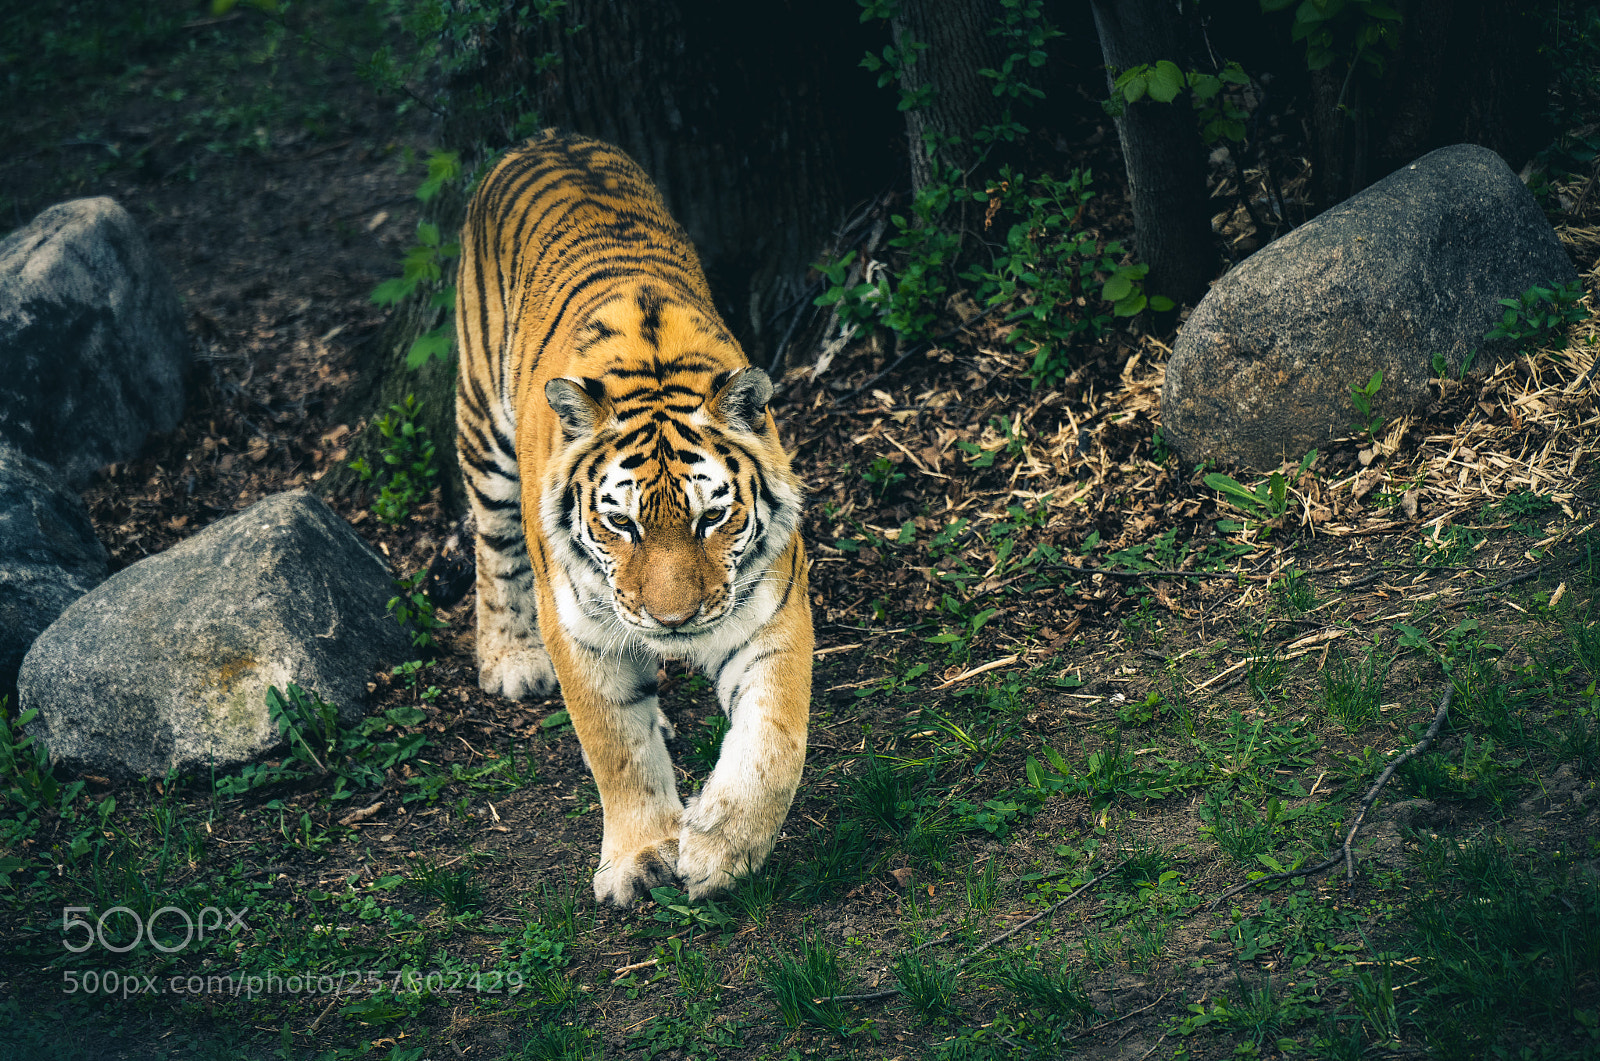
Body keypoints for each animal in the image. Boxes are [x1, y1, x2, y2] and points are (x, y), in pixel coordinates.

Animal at [454, 132, 812, 906]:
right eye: (621, 524)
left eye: (714, 517)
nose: (674, 621)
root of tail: (544, 137)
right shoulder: (580, 629)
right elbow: (615, 746)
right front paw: (643, 855)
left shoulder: (772, 613)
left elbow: (773, 741)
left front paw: (719, 848)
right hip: (482, 430)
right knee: (490, 547)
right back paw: (511, 662)